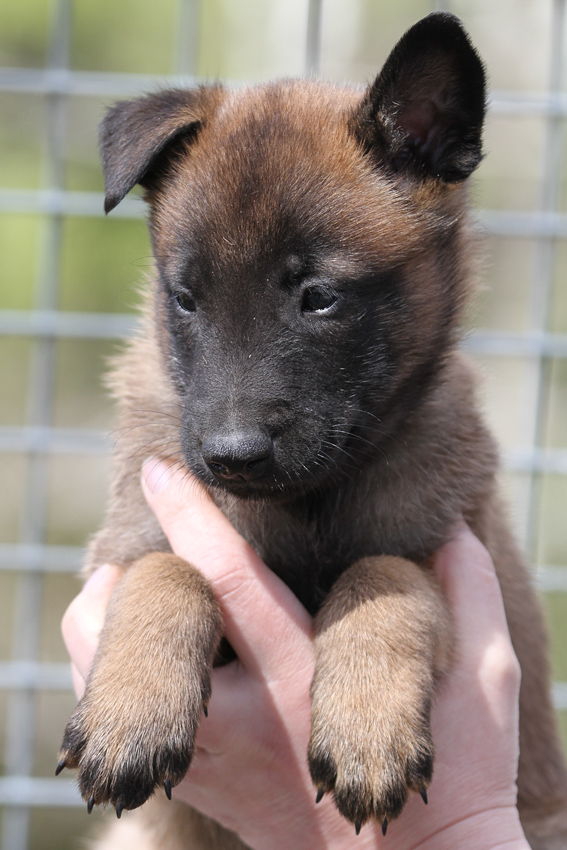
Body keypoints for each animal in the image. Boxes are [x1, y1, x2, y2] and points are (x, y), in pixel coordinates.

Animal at [56, 13, 567, 848]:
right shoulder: (127, 544)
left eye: (319, 297)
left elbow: (382, 574)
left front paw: (365, 729)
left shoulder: (450, 553)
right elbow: (167, 569)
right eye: (186, 299)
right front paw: (131, 714)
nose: (231, 456)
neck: (307, 502)